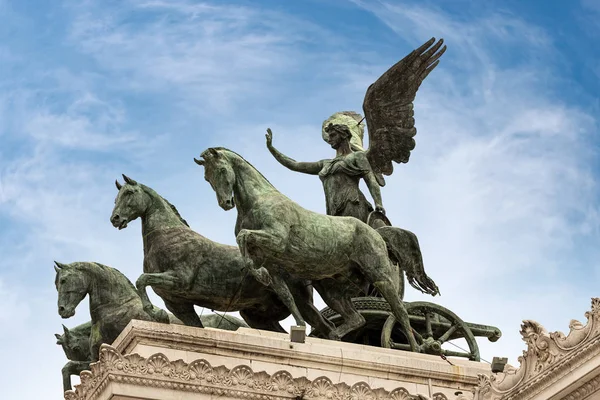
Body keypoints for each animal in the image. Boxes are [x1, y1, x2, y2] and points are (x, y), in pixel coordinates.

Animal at [196, 148, 418, 350]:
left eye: (222, 170)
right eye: (207, 177)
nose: (226, 203)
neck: (258, 201)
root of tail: (377, 233)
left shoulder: (277, 239)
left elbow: (243, 236)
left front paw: (257, 271)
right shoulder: (273, 266)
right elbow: (286, 295)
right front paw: (298, 326)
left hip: (380, 276)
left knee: (399, 311)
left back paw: (415, 348)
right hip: (332, 291)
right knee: (355, 319)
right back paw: (333, 337)